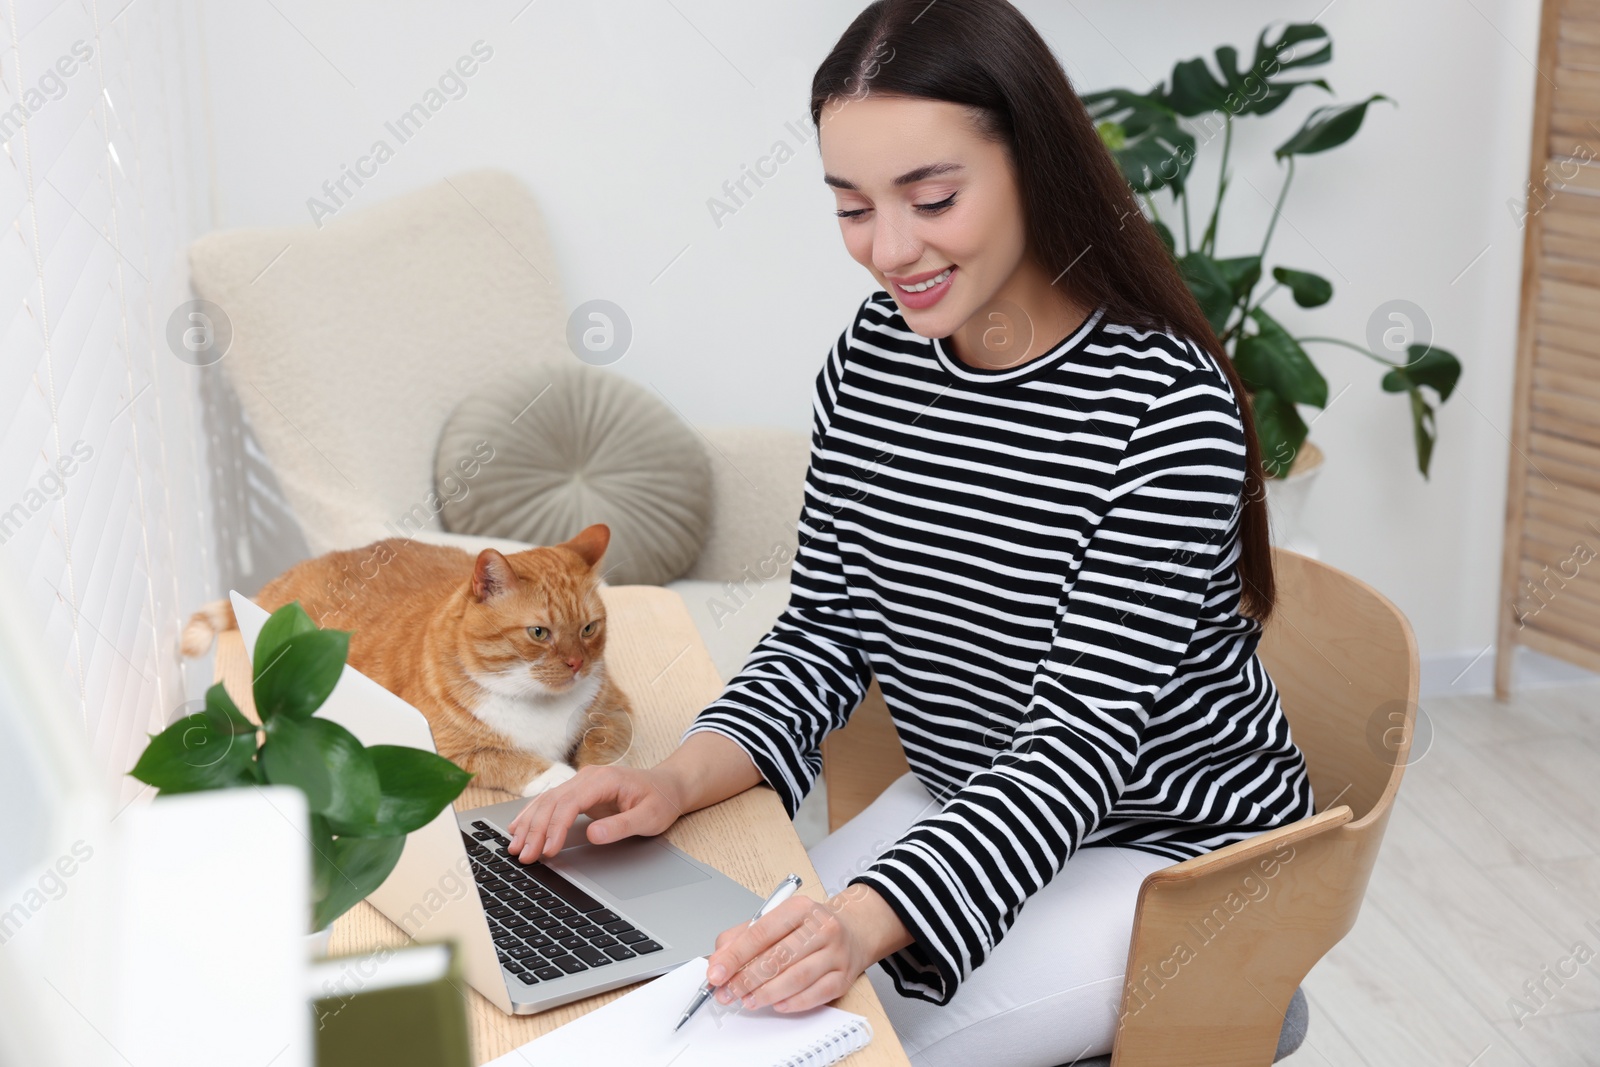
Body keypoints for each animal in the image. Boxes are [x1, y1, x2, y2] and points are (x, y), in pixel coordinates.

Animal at [184, 521, 633, 796]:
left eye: (589, 629)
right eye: (539, 633)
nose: (577, 665)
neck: (537, 701)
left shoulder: (615, 711)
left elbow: (604, 748)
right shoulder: (448, 756)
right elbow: (510, 759)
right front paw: (561, 777)